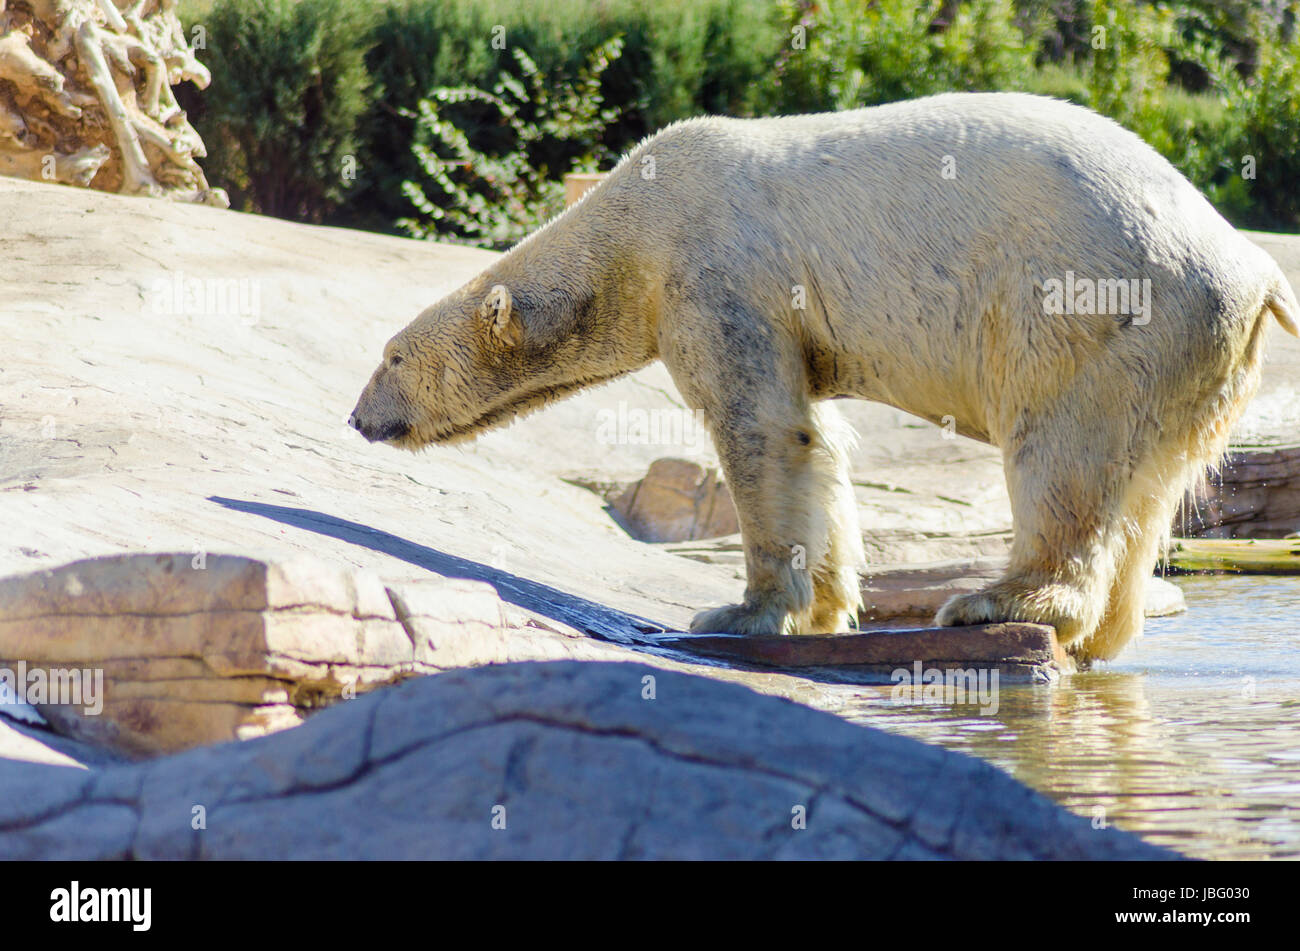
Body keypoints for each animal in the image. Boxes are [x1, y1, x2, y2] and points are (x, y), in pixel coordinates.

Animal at [351, 96, 1294, 659]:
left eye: (388, 358)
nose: (359, 418)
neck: (635, 228)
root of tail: (1255, 270)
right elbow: (818, 439)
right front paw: (830, 605)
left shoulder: (716, 277)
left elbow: (759, 428)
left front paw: (739, 612)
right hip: (1191, 356)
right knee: (1146, 488)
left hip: (1100, 309)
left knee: (1061, 452)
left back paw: (996, 602)